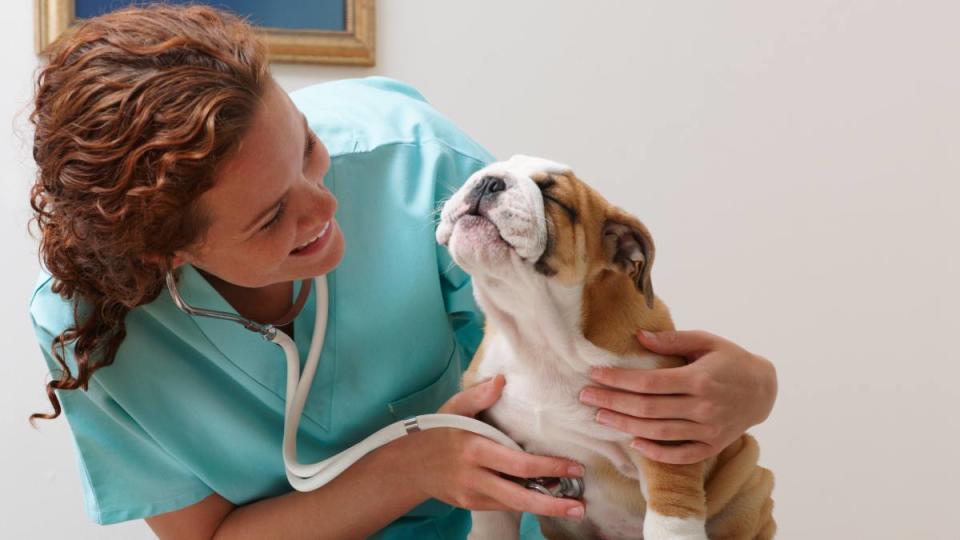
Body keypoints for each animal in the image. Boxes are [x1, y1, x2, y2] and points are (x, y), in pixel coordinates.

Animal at [438, 154, 776, 536]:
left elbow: (671, 518)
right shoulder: (493, 443)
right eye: (482, 172)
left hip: (749, 484)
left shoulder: (666, 443)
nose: (488, 181)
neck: (543, 340)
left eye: (552, 197)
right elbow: (492, 519)